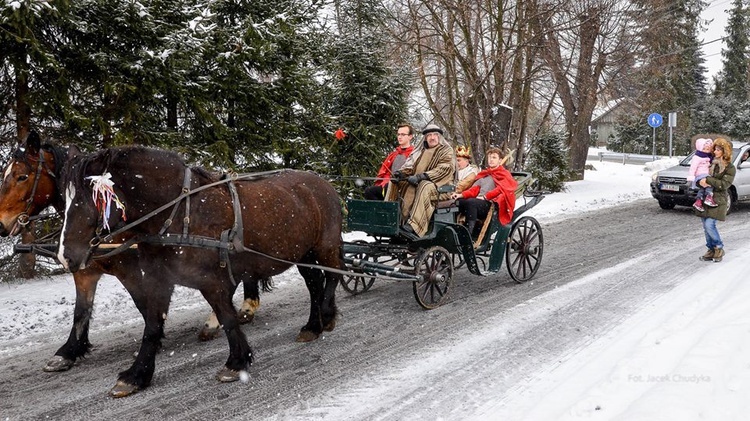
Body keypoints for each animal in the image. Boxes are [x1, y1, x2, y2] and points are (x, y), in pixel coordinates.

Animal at [0, 131, 268, 370]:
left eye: (22, 176)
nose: (1, 224)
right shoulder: (86, 271)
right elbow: (81, 311)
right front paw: (68, 351)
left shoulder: (128, 269)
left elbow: (143, 303)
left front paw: (155, 339)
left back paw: (233, 312)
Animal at [57, 145, 346, 398]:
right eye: (65, 199)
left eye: (86, 200)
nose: (66, 256)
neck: (179, 215)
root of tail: (325, 184)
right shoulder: (159, 279)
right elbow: (152, 324)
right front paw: (137, 375)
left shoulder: (212, 281)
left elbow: (227, 318)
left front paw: (236, 362)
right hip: (303, 253)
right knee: (314, 283)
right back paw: (312, 326)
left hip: (325, 245)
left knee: (332, 276)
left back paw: (327, 315)